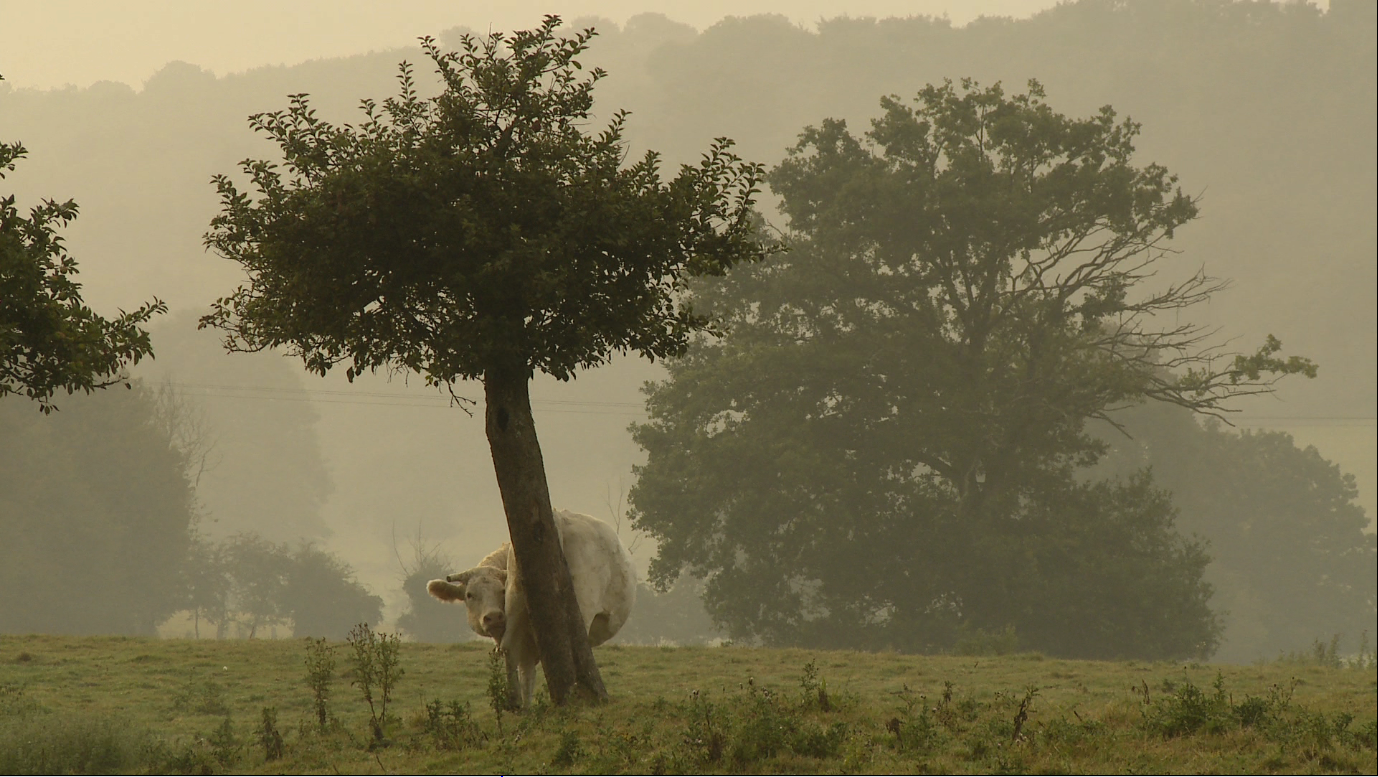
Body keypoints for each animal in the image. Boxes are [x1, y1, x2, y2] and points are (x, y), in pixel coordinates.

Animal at [426, 509, 636, 706]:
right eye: (469, 595)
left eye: (501, 591)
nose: (493, 617)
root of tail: (557, 516)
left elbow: (526, 675)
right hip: (583, 603)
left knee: (509, 649)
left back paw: (514, 703)